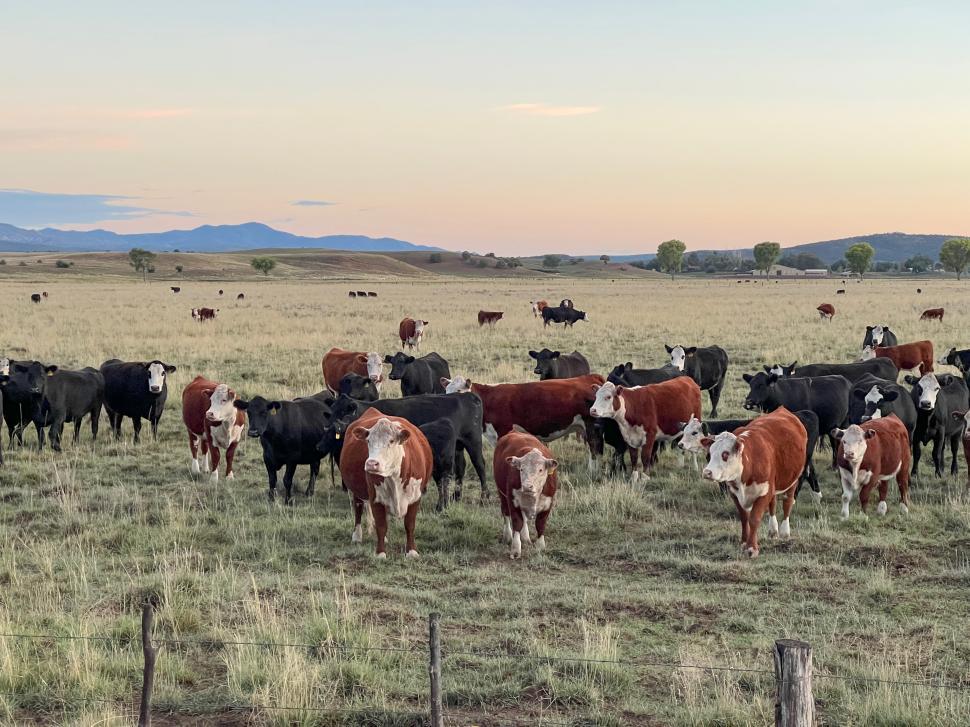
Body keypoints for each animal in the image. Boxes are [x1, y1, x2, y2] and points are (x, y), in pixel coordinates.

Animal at [326, 391, 487, 505]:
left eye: (343, 412)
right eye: (332, 411)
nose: (331, 427)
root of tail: (468, 395)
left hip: (473, 441)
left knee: (479, 465)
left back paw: (484, 497)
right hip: (458, 447)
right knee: (461, 467)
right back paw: (456, 496)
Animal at [701, 407, 808, 558]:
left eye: (725, 454)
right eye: (709, 454)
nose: (707, 472)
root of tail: (783, 410)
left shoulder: (764, 492)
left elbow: (754, 519)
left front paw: (752, 548)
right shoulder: (735, 493)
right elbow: (744, 518)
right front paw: (744, 542)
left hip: (792, 480)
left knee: (787, 502)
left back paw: (784, 532)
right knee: (773, 504)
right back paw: (773, 530)